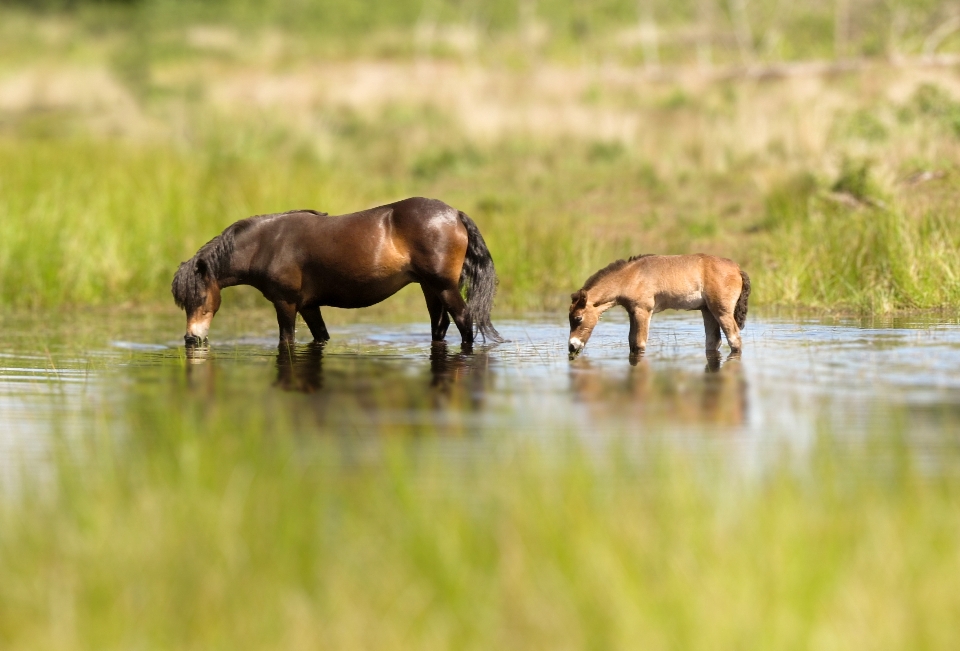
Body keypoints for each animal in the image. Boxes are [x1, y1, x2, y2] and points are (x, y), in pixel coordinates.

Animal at [172, 197, 502, 346]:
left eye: (198, 297)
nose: (190, 338)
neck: (268, 243)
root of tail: (454, 213)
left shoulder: (286, 303)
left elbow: (286, 340)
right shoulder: (308, 306)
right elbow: (321, 336)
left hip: (444, 286)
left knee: (464, 321)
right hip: (429, 288)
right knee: (439, 325)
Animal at [568, 253, 752, 356]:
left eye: (578, 318)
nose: (572, 346)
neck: (631, 276)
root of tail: (737, 269)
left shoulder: (643, 311)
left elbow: (639, 343)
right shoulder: (633, 312)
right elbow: (631, 342)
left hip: (722, 311)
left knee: (734, 340)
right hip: (707, 311)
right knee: (713, 342)